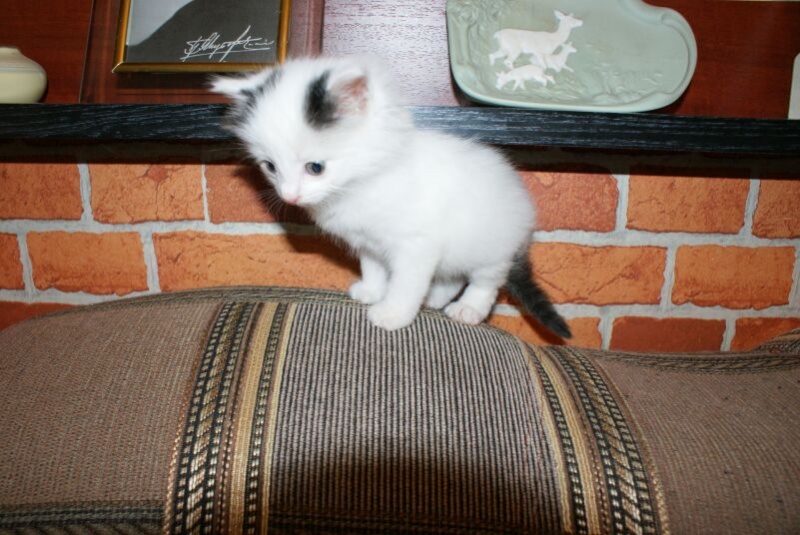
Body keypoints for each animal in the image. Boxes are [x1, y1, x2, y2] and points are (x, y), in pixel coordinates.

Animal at [211, 56, 571, 338]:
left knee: (486, 281)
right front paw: (372, 291)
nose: (290, 197)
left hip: (492, 248)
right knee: (453, 274)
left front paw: (392, 313)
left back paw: (468, 309)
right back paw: (437, 298)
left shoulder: (416, 245)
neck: (362, 184)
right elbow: (374, 268)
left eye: (315, 168)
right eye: (270, 167)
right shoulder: (368, 242)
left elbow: (406, 283)